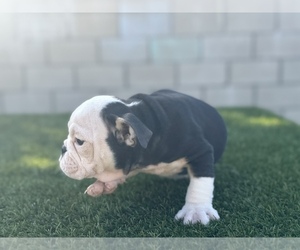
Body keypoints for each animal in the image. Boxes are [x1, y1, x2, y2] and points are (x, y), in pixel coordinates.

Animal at [59, 89, 227, 225]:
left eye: (80, 142)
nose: (62, 148)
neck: (143, 117)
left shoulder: (201, 150)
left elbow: (201, 182)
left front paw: (196, 211)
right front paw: (104, 184)